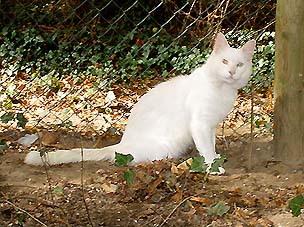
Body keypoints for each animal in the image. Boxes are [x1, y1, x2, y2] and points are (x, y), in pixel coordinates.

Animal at [25, 32, 255, 166]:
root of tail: (120, 145)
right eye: (224, 61)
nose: (232, 72)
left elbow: (212, 144)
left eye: (239, 65)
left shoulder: (211, 125)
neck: (223, 89)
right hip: (165, 146)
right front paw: (212, 165)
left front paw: (216, 158)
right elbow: (206, 147)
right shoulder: (200, 124)